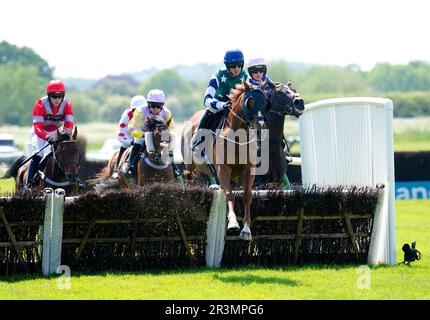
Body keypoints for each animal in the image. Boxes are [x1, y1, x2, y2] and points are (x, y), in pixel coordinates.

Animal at [180, 80, 268, 240]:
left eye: (265, 102)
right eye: (251, 102)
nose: (261, 129)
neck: (238, 138)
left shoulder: (248, 169)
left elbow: (247, 196)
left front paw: (246, 229)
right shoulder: (223, 169)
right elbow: (229, 194)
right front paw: (232, 222)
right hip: (190, 162)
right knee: (187, 174)